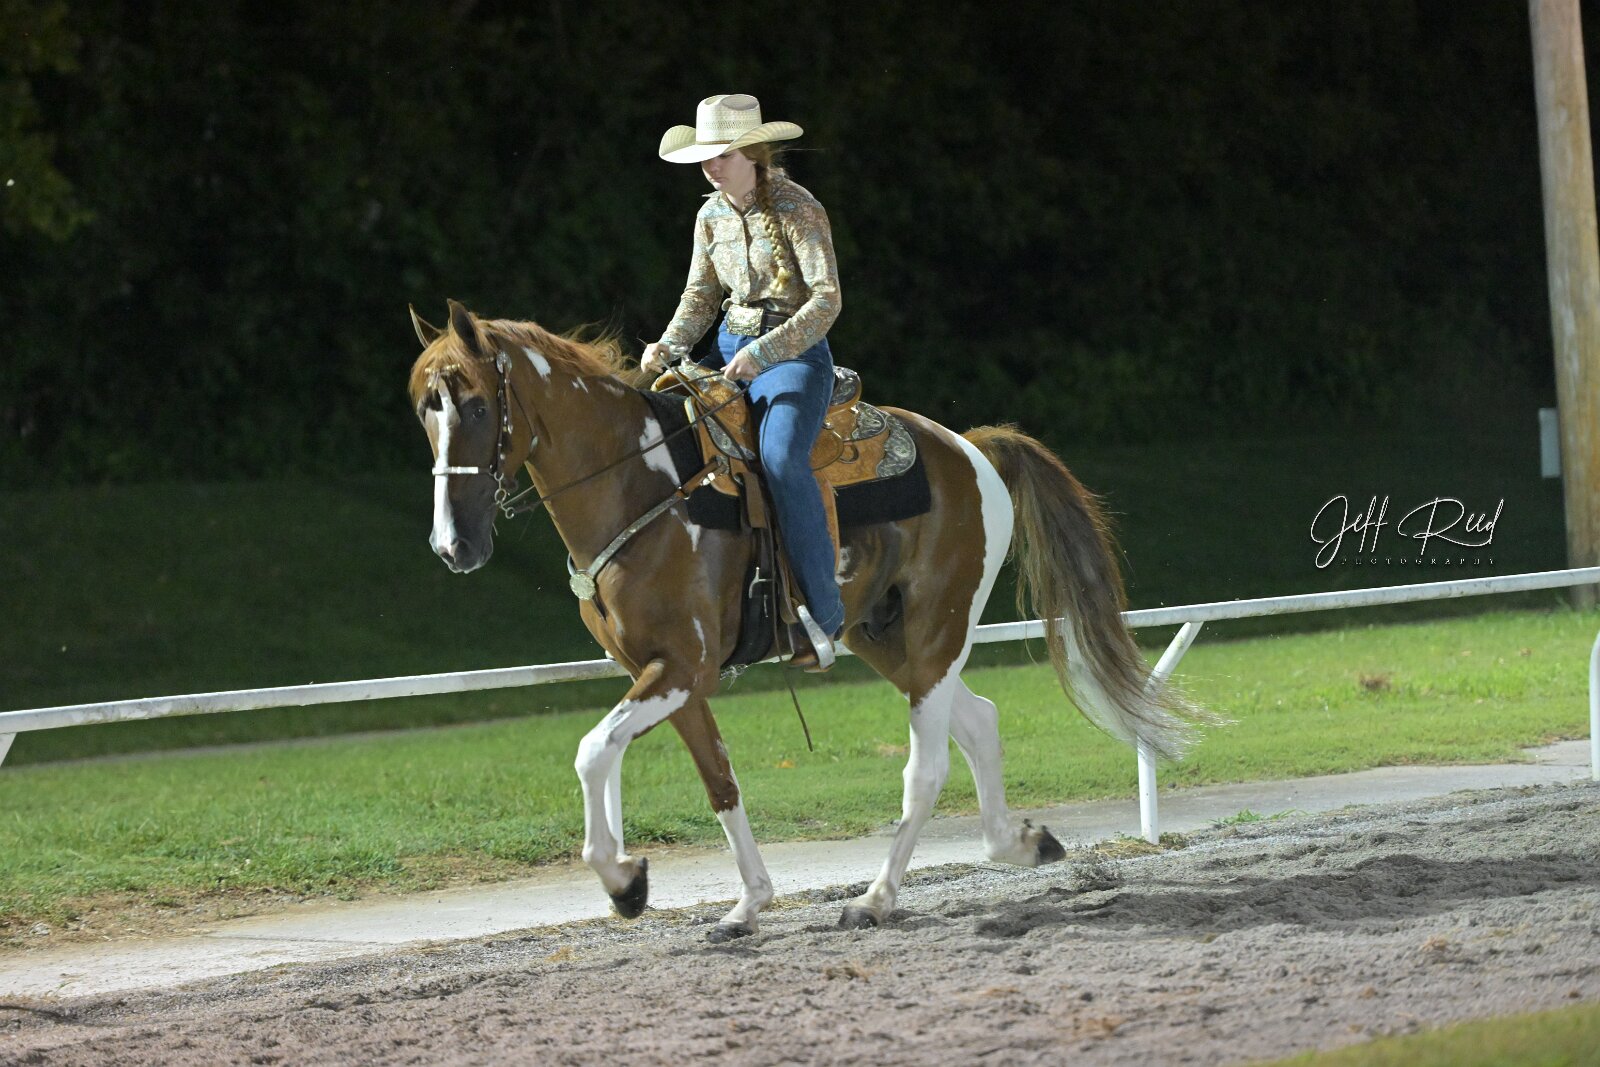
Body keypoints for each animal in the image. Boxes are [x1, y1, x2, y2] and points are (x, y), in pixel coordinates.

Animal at [408, 300, 1208, 940]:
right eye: (424, 409)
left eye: (475, 406)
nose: (453, 545)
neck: (642, 485)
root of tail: (972, 447)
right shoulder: (663, 675)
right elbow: (718, 780)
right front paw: (742, 904)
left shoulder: (683, 667)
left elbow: (590, 750)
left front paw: (623, 880)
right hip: (883, 635)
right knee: (978, 719)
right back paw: (1020, 842)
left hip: (938, 627)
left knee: (928, 765)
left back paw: (876, 899)